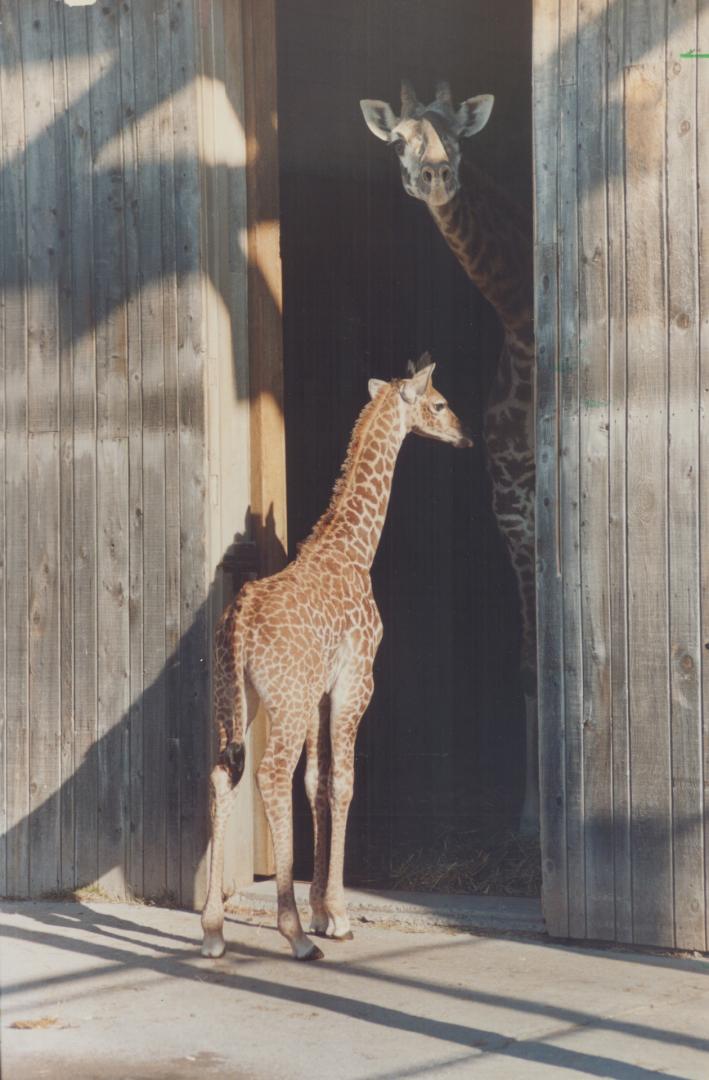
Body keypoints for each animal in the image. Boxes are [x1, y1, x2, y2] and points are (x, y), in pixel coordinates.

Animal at [198, 358, 471, 959]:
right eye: (439, 402)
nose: (465, 436)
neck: (353, 546)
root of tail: (239, 623)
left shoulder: (322, 690)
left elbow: (317, 783)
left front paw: (324, 908)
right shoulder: (356, 679)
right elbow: (342, 782)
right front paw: (336, 918)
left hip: (238, 696)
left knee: (224, 773)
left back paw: (212, 930)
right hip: (285, 700)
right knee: (271, 773)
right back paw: (295, 935)